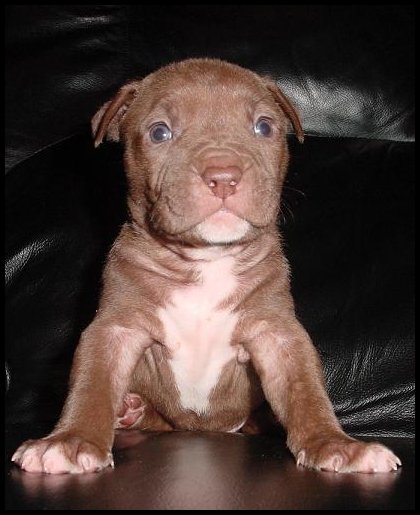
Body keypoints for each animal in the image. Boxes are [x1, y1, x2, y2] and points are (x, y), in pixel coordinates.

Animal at [12, 58, 401, 474]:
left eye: (264, 127)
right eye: (160, 132)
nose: (224, 176)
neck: (207, 260)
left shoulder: (277, 331)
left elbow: (305, 391)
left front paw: (334, 443)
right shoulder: (116, 327)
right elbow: (92, 386)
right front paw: (70, 441)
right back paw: (128, 411)